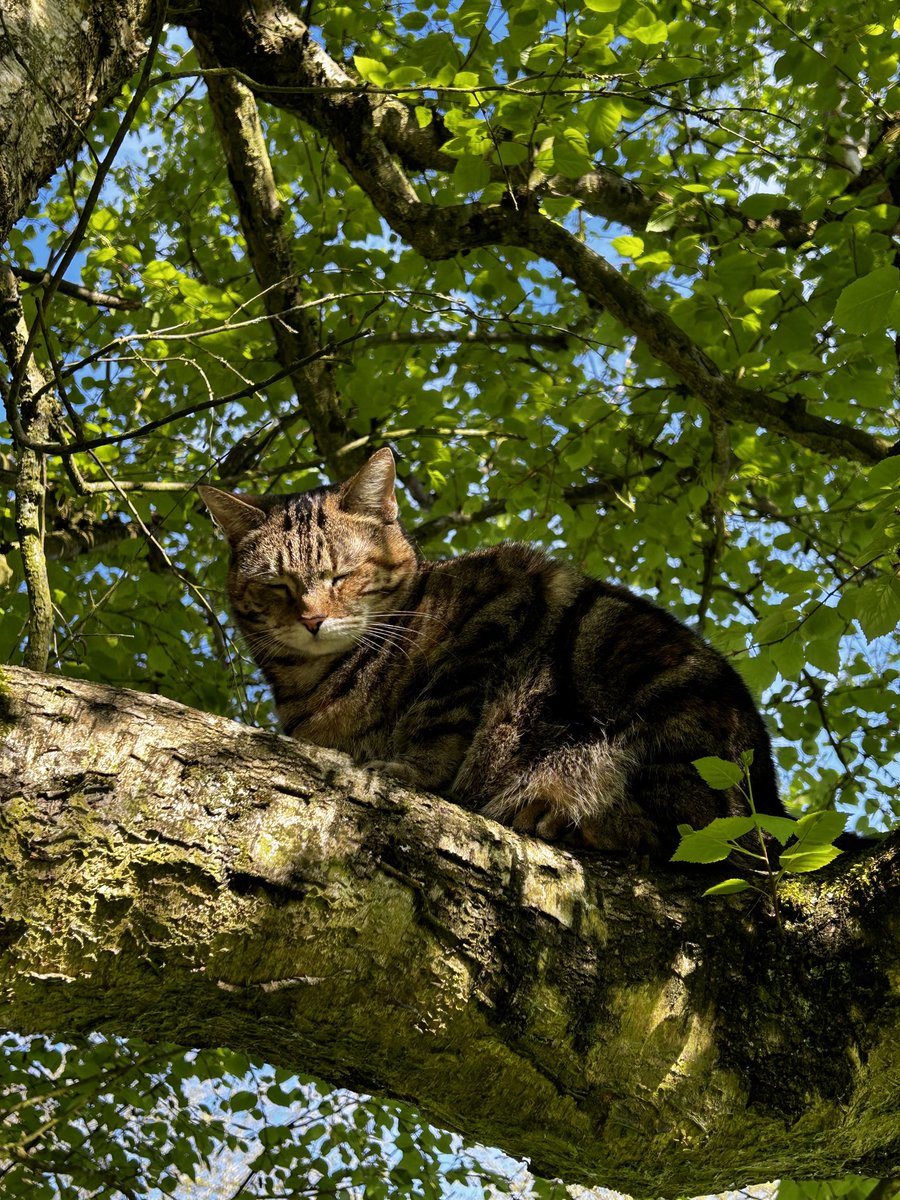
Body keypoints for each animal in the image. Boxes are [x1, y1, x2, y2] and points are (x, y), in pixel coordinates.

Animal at [200, 448, 787, 854]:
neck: (316, 683)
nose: (313, 619)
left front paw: (409, 769)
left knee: (690, 830)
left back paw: (555, 809)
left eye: (342, 575)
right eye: (277, 586)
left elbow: (439, 715)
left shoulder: (500, 599)